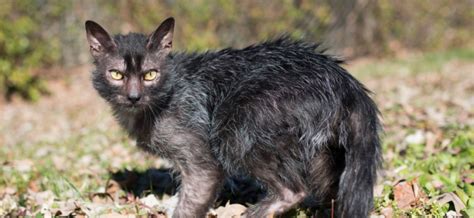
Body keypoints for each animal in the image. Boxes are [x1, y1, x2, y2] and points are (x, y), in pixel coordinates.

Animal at [84, 17, 382, 218]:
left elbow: (189, 204)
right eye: (116, 74)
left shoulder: (202, 164)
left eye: (150, 74)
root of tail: (345, 81)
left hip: (235, 130)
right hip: (324, 154)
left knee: (293, 190)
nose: (133, 96)